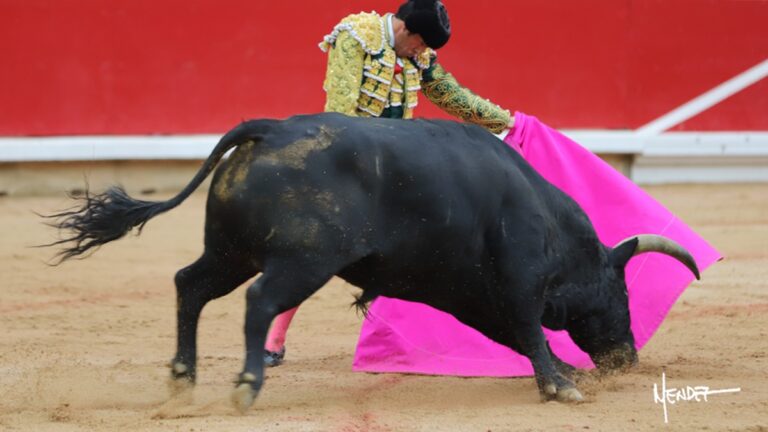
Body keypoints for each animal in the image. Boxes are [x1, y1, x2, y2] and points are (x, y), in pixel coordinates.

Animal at [45, 111, 700, 408]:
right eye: (621, 292)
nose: (626, 358)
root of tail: (270, 130)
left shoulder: (476, 297)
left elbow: (517, 335)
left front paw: (564, 374)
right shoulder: (518, 282)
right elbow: (530, 330)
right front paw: (561, 385)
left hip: (231, 252)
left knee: (190, 284)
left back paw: (183, 376)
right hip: (299, 262)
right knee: (258, 302)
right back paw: (246, 384)